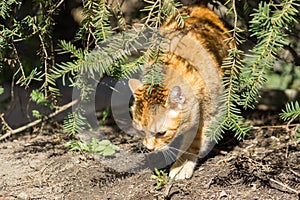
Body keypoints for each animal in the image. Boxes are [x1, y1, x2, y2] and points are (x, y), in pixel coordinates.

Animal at [128, 4, 230, 180]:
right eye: (141, 131)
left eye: (161, 133)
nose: (149, 148)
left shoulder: (213, 113)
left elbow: (196, 141)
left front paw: (183, 164)